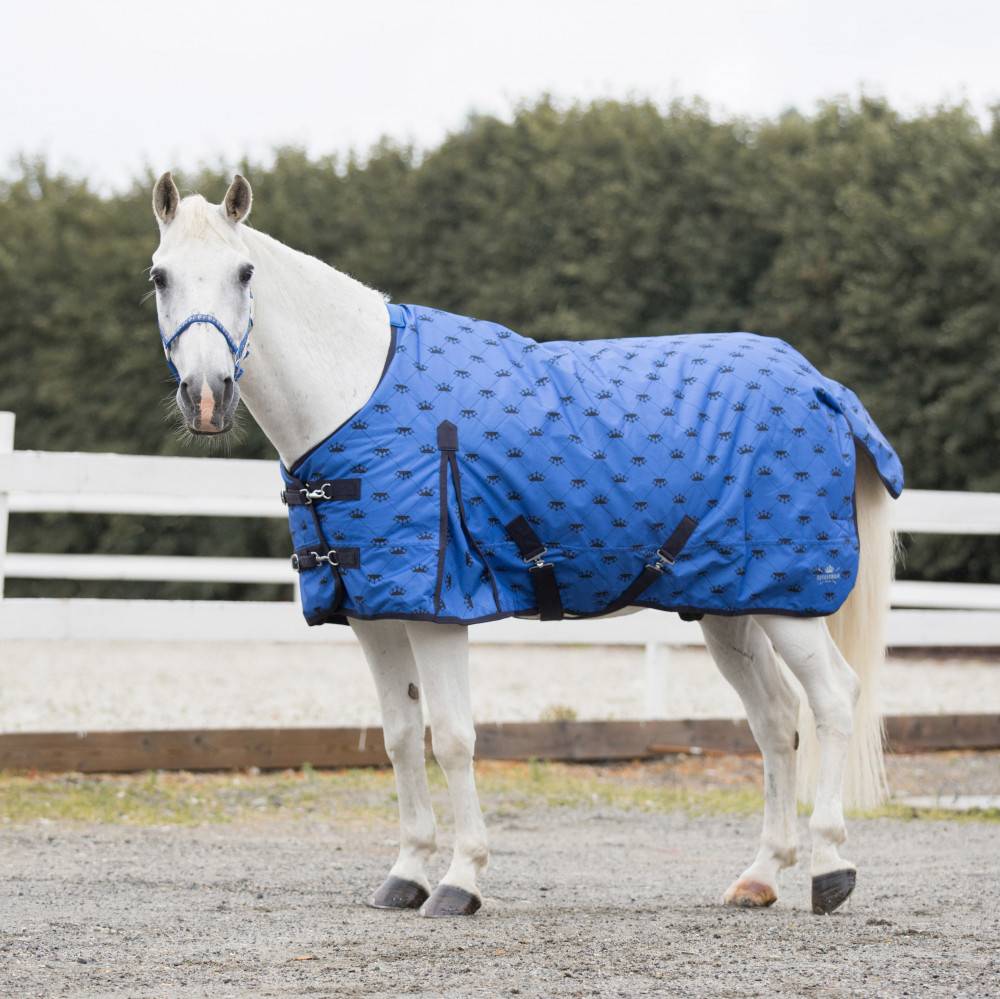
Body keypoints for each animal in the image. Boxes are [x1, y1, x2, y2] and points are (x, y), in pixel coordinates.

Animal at [148, 172, 899, 918]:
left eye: (245, 272)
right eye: (160, 276)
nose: (207, 396)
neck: (356, 396)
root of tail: (822, 385)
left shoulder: (439, 609)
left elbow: (453, 738)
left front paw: (460, 880)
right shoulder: (374, 614)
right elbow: (400, 737)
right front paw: (406, 873)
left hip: (785, 600)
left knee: (834, 698)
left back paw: (830, 869)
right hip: (731, 605)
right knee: (774, 720)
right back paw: (760, 875)